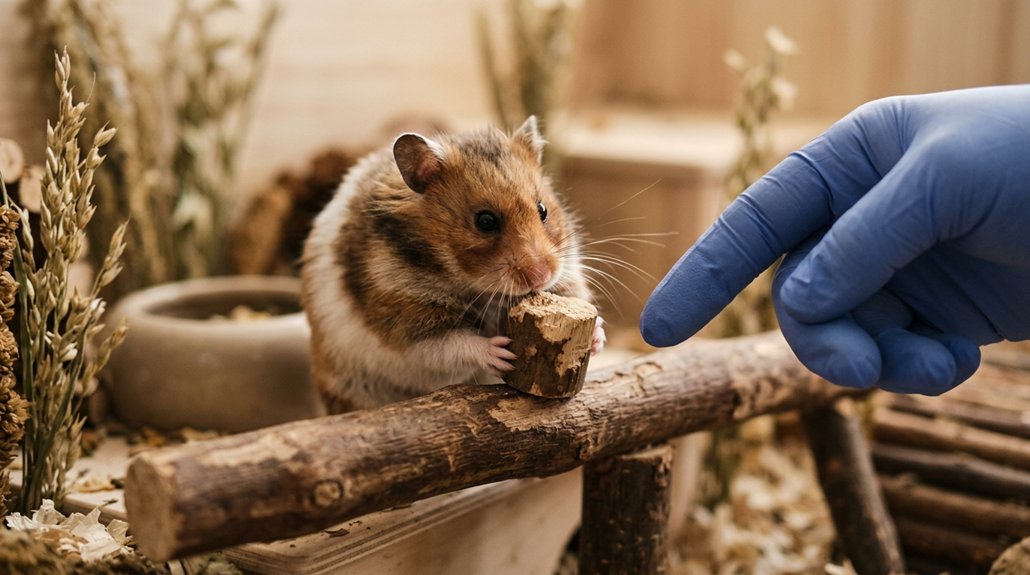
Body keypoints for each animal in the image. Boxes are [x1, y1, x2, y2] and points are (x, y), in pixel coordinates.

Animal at [301, 116, 604, 413]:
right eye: (485, 221)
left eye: (542, 210)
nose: (541, 277)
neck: (473, 283)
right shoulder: (406, 319)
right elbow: (450, 345)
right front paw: (500, 353)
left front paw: (597, 336)